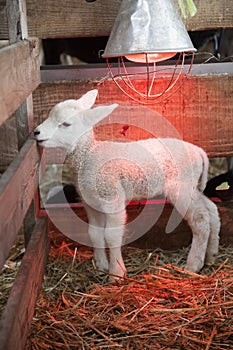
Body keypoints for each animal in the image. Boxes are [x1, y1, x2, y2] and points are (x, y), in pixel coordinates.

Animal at [34, 88, 220, 282]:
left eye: (65, 124)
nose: (36, 132)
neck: (89, 155)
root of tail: (199, 151)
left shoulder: (112, 197)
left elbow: (111, 235)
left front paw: (116, 273)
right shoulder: (90, 202)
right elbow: (94, 233)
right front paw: (101, 265)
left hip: (181, 186)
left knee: (200, 219)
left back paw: (193, 265)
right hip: (192, 185)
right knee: (212, 210)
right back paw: (211, 255)